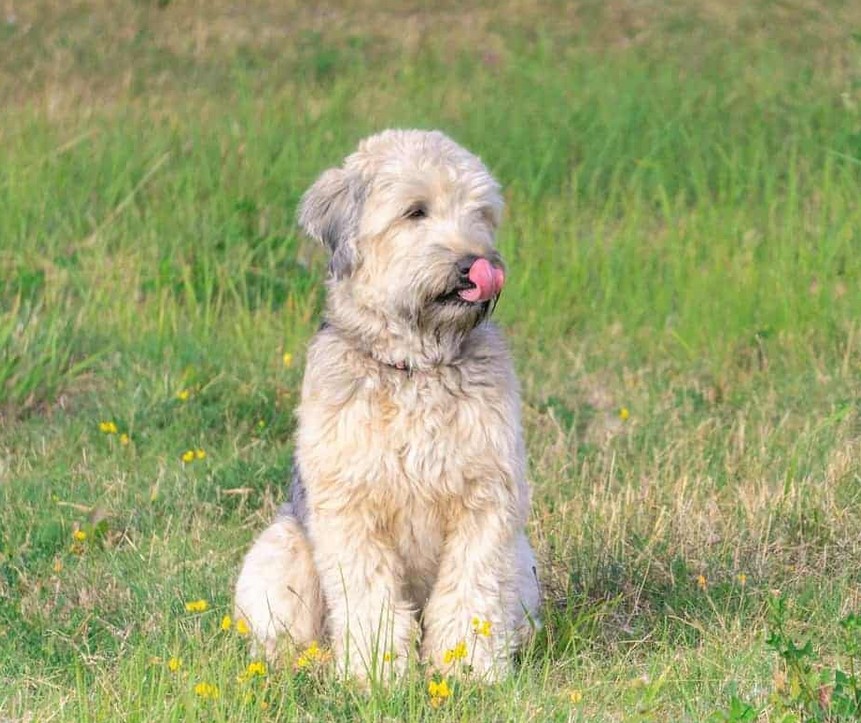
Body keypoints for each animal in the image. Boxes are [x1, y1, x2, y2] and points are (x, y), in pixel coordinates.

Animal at [233, 130, 536, 684]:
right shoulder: (351, 509)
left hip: (523, 562)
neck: (414, 367)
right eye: (415, 212)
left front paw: (467, 669)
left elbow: (471, 591)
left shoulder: (487, 503)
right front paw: (377, 675)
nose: (476, 264)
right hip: (280, 549)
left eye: (480, 212)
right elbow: (369, 599)